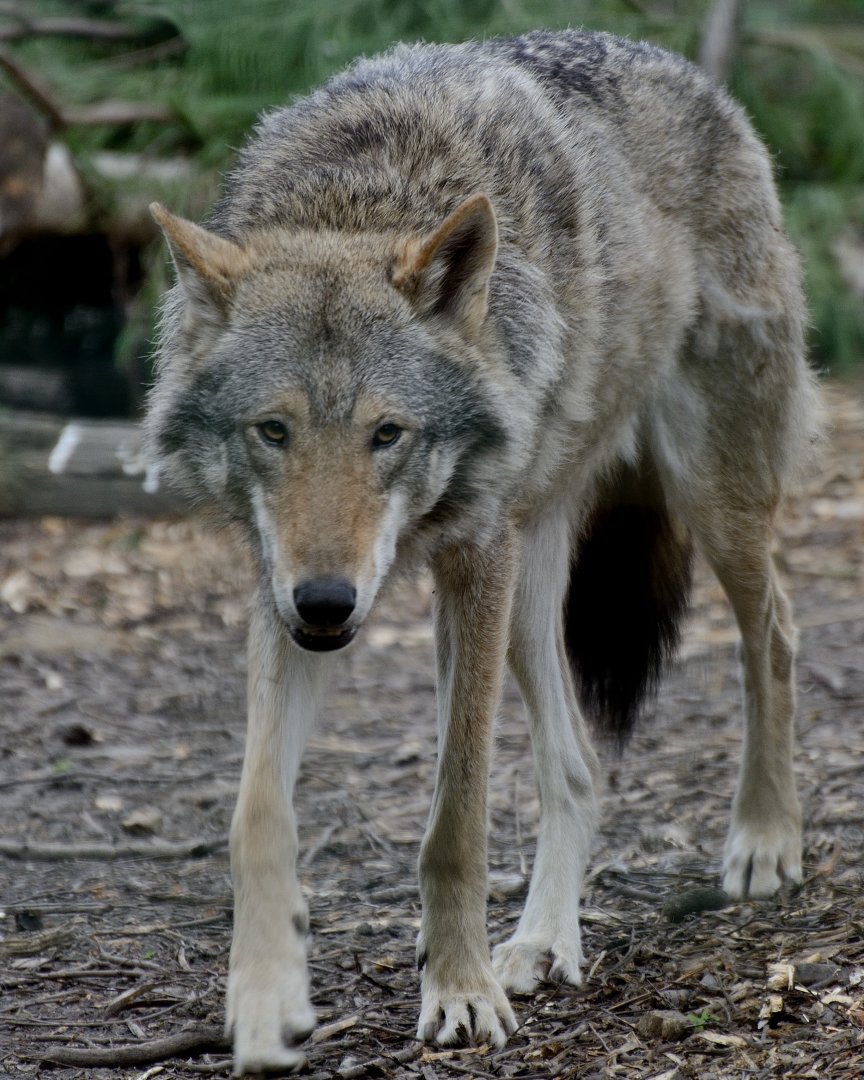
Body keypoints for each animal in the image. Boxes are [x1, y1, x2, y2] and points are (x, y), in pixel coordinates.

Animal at [146, 28, 819, 1075]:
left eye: (388, 434)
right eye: (273, 432)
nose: (330, 604)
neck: (361, 195)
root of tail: (692, 77)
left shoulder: (467, 559)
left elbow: (454, 820)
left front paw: (457, 991)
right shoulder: (282, 590)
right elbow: (256, 814)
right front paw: (262, 1004)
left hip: (704, 503)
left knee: (776, 634)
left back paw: (763, 838)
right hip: (528, 577)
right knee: (577, 764)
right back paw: (543, 943)